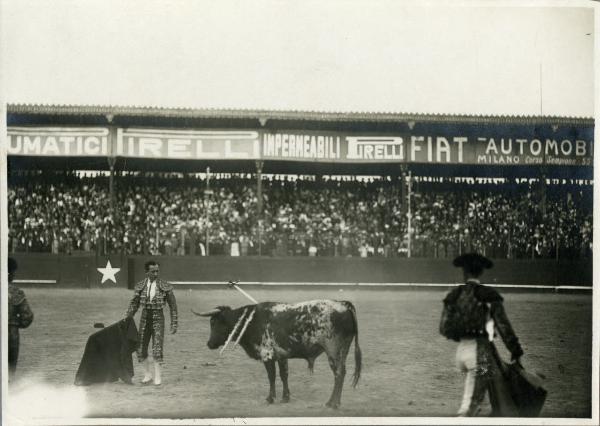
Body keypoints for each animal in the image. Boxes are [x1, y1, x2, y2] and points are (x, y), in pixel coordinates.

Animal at [192, 298, 360, 408]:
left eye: (213, 322)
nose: (209, 344)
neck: (251, 321)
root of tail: (343, 304)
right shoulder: (281, 356)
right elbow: (283, 375)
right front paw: (285, 397)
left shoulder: (267, 355)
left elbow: (271, 376)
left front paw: (270, 398)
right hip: (343, 351)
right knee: (342, 372)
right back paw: (336, 401)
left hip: (333, 350)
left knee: (338, 374)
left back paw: (332, 403)